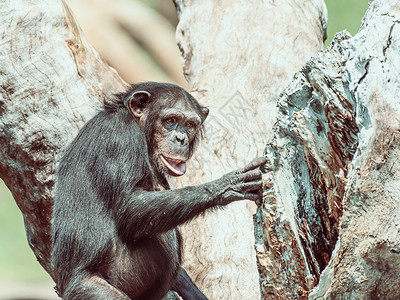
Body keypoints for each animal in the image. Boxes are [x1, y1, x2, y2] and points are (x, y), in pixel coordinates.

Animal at [51, 82, 268, 300]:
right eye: (170, 120)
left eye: (190, 125)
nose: (180, 138)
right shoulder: (118, 135)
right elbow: (129, 206)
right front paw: (226, 185)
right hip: (94, 289)